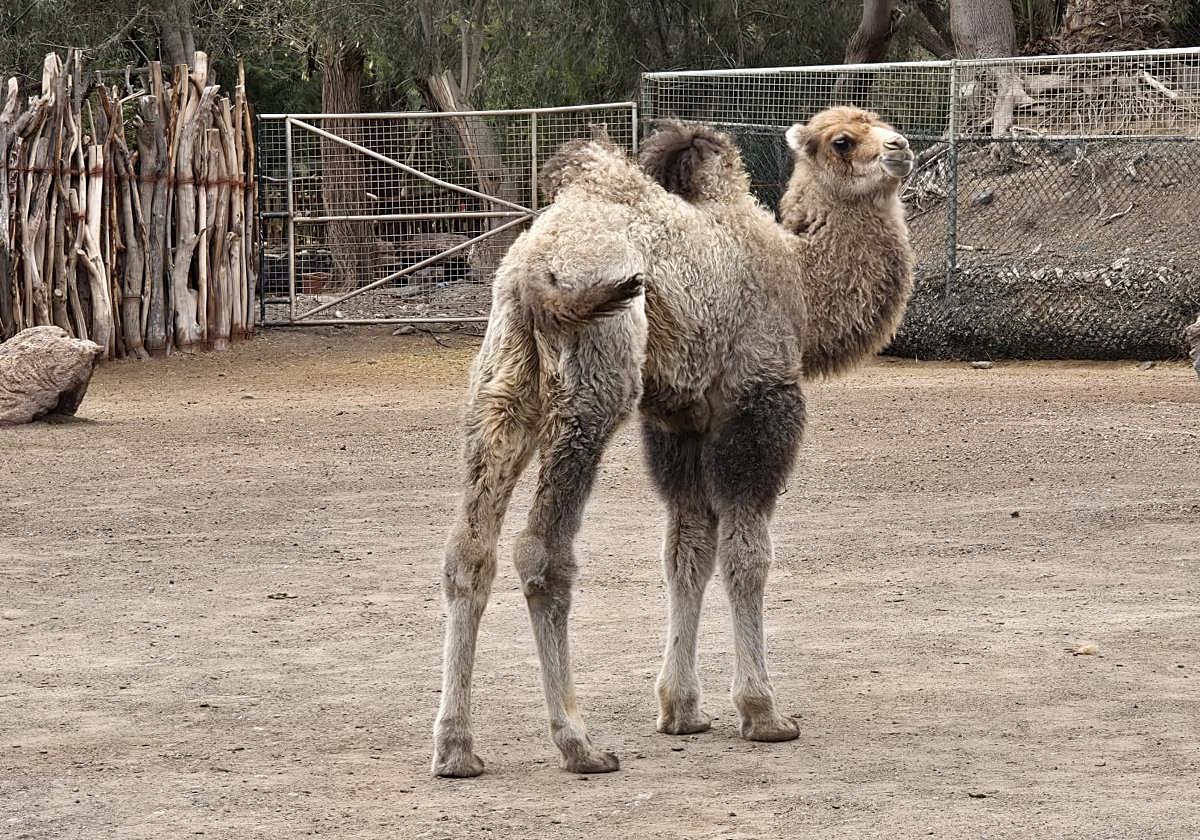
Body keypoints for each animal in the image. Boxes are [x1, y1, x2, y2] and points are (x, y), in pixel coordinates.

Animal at [432, 106, 916, 777]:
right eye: (842, 141)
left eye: (881, 125)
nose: (903, 148)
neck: (799, 280)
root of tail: (532, 267)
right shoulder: (757, 400)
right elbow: (746, 555)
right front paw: (763, 713)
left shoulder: (679, 423)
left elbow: (687, 550)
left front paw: (682, 710)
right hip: (595, 379)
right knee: (543, 551)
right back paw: (579, 744)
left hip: (502, 384)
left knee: (469, 551)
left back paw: (456, 749)